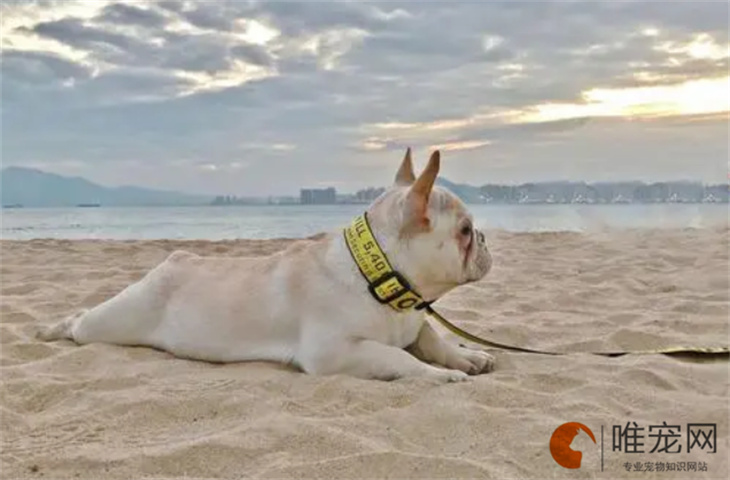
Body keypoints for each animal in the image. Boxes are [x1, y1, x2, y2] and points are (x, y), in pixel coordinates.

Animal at [37, 150, 492, 382]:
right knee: (80, 321)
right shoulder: (334, 352)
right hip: (116, 321)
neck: (379, 279)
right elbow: (397, 358)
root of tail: (171, 262)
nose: (485, 239)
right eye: (466, 230)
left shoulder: (413, 325)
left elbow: (431, 339)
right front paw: (438, 374)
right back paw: (53, 328)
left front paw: (465, 356)